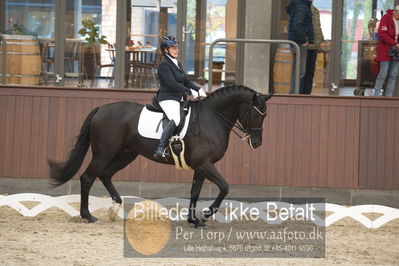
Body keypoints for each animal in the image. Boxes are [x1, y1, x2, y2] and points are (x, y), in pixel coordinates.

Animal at [47, 85, 272, 227]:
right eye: (255, 114)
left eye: (265, 115)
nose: (257, 143)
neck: (212, 118)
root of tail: (101, 108)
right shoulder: (205, 164)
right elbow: (224, 187)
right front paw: (206, 214)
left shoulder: (201, 166)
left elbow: (195, 191)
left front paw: (194, 220)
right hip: (104, 153)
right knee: (88, 177)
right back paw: (88, 216)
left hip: (126, 154)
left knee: (105, 175)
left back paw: (115, 207)